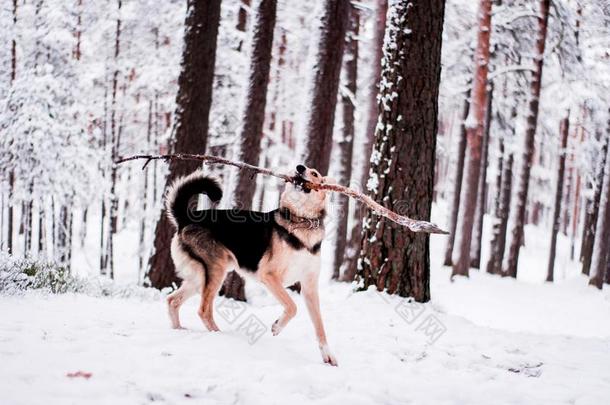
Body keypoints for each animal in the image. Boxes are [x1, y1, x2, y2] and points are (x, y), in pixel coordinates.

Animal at [164, 163, 334, 364]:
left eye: (314, 173)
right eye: (298, 168)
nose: (299, 168)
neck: (302, 221)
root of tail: (186, 218)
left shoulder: (309, 288)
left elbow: (320, 325)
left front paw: (328, 356)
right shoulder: (269, 275)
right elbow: (292, 307)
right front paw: (277, 326)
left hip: (199, 277)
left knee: (173, 300)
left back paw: (178, 329)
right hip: (216, 270)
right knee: (203, 310)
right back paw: (220, 336)